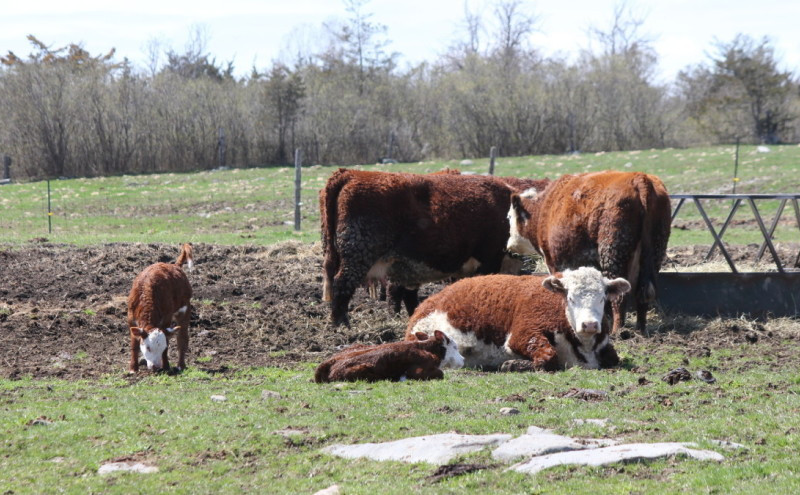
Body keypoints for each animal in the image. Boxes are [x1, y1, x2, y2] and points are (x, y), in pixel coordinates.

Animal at [130, 242, 195, 374]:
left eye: (162, 347)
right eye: (148, 347)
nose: (156, 366)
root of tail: (175, 266)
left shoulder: (167, 319)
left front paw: (166, 366)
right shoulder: (131, 317)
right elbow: (134, 343)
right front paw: (133, 369)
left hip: (185, 309)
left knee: (182, 338)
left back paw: (180, 365)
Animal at [406, 268, 632, 372]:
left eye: (603, 297)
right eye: (571, 298)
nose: (590, 324)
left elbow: (614, 358)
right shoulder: (523, 334)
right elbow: (548, 358)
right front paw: (513, 364)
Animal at [506, 170, 668, 334]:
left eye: (509, 217)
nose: (509, 246)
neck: (544, 208)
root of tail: (640, 178)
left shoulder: (554, 262)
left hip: (614, 253)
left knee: (620, 296)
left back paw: (617, 331)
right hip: (655, 252)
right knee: (643, 294)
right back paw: (640, 329)